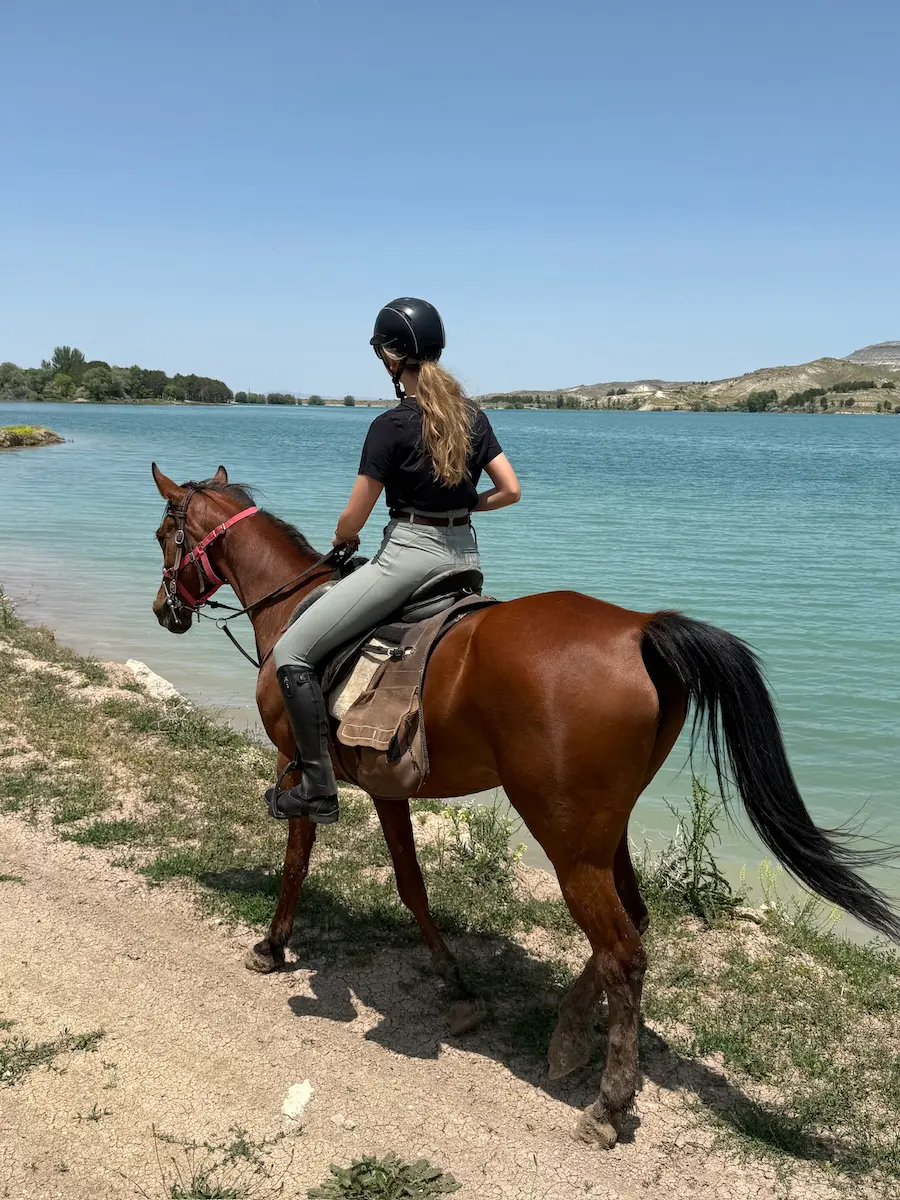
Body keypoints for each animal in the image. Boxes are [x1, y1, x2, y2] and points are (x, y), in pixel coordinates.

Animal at [150, 463, 899, 1149]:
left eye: (164, 533)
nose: (163, 612)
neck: (297, 605)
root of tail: (640, 630)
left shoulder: (297, 765)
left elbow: (298, 863)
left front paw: (272, 946)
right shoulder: (390, 788)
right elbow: (411, 884)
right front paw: (455, 983)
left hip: (565, 837)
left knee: (623, 950)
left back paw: (608, 1104)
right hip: (602, 832)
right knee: (633, 923)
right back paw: (569, 1035)